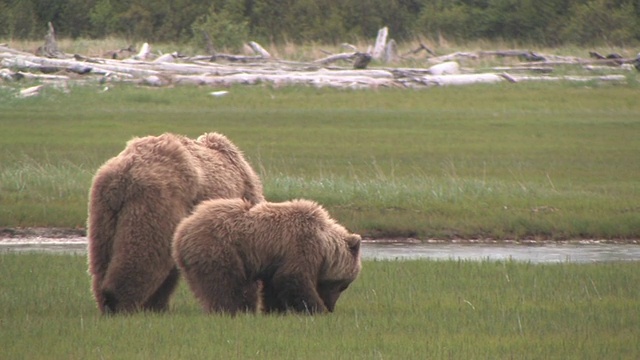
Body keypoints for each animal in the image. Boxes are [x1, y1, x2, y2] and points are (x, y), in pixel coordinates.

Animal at [87, 133, 262, 316]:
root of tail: (122, 175)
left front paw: (155, 305)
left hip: (103, 211)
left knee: (102, 260)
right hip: (156, 202)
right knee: (144, 253)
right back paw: (119, 303)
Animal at [171, 197, 360, 316]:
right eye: (344, 285)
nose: (330, 306)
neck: (323, 243)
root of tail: (181, 232)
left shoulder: (277, 260)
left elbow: (275, 285)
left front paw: (275, 310)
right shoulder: (301, 247)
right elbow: (294, 278)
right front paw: (315, 308)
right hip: (219, 248)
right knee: (224, 283)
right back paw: (230, 309)